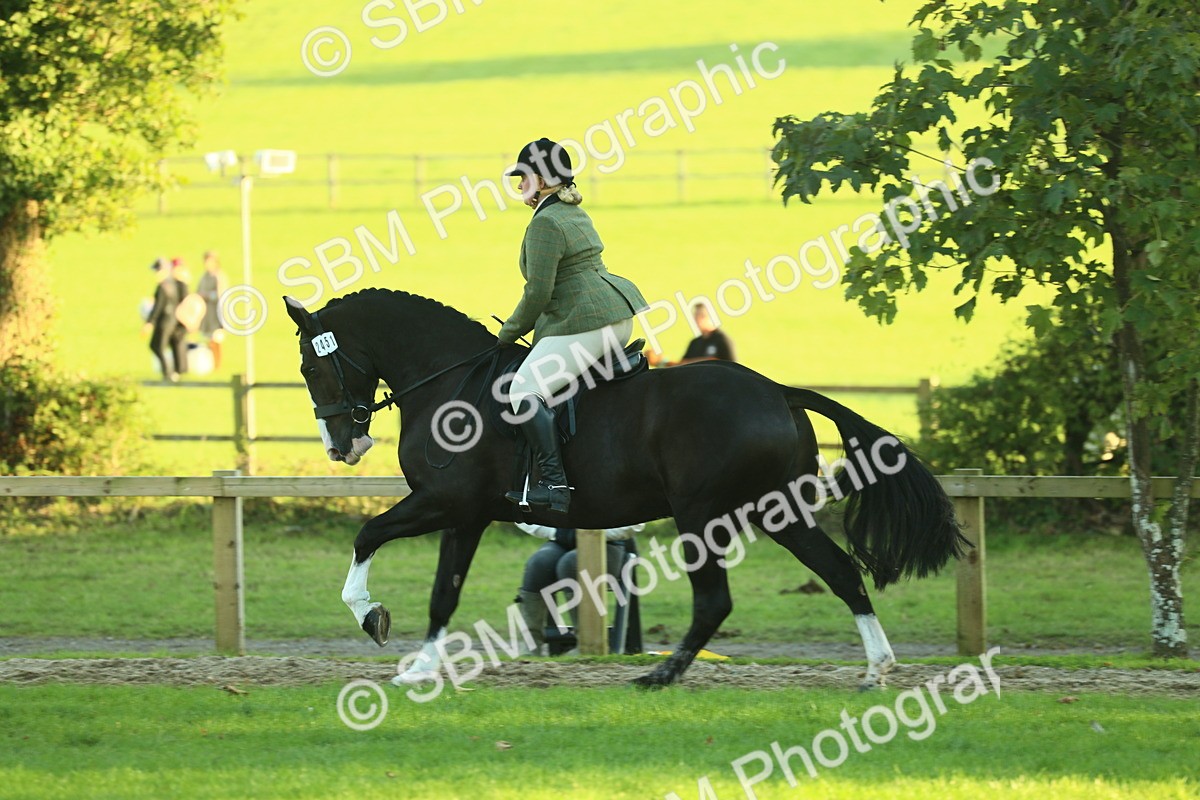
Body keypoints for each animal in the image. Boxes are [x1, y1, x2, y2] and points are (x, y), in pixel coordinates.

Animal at [283, 289, 965, 690]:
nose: (342, 449)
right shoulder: (466, 515)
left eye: (312, 366)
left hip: (702, 514)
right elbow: (442, 595)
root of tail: (776, 390)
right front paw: (419, 668)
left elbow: (368, 534)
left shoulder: (442, 503)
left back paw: (660, 676)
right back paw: (877, 668)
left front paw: (370, 615)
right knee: (841, 572)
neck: (451, 384)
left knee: (715, 601)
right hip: (777, 511)